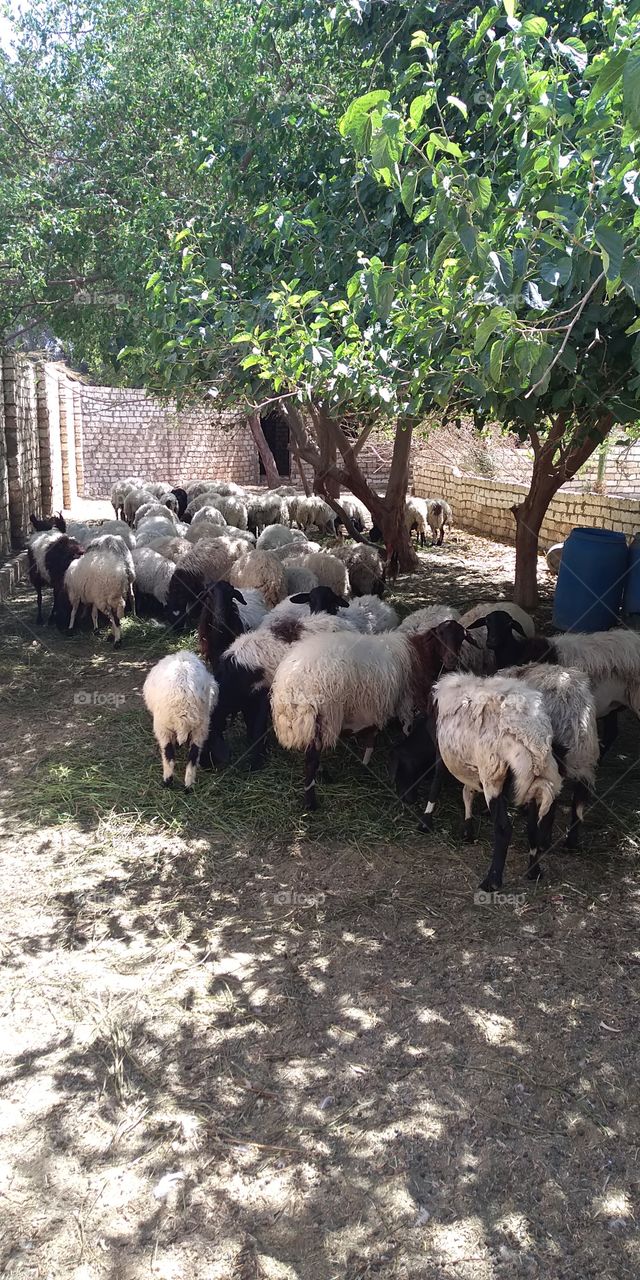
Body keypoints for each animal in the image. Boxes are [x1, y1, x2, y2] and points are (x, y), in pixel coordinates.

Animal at [143, 652, 218, 789]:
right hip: (201, 727)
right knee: (193, 756)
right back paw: (188, 786)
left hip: (162, 727)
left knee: (168, 754)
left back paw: (167, 782)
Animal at [202, 607, 357, 772]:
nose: (205, 766)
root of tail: (349, 626)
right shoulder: (247, 701)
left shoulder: (261, 696)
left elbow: (257, 729)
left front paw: (256, 763)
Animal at [270, 618, 475, 809]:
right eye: (439, 634)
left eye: (461, 637)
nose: (452, 660)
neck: (419, 653)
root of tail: (291, 684)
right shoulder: (404, 700)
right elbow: (405, 729)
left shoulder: (376, 705)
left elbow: (373, 735)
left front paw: (366, 762)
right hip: (323, 714)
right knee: (311, 760)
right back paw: (311, 802)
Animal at [419, 672, 563, 891]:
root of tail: (532, 741)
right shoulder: (472, 764)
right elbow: (467, 792)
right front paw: (467, 829)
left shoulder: (443, 753)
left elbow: (437, 782)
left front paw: (426, 822)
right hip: (535, 781)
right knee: (533, 827)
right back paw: (534, 871)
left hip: (493, 776)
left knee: (503, 828)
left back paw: (492, 881)